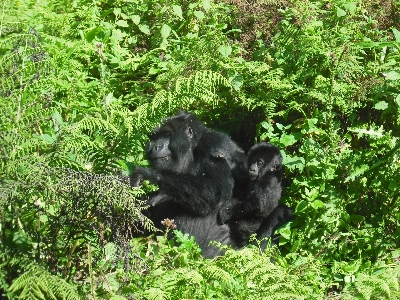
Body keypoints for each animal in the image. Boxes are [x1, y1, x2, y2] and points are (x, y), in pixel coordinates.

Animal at [131, 111, 247, 256]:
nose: (155, 147)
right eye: (155, 137)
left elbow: (215, 191)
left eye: (167, 135)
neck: (191, 151)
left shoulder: (214, 146)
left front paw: (151, 175)